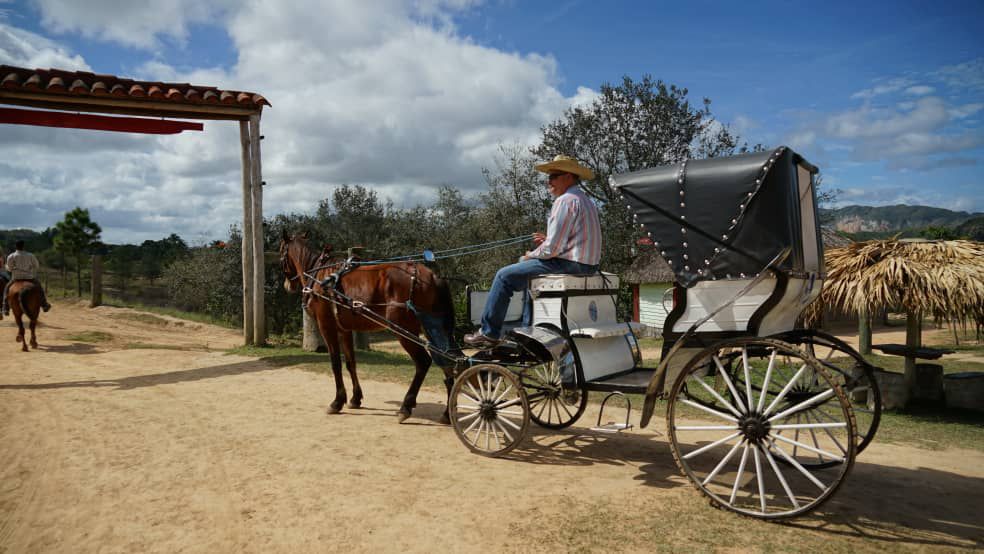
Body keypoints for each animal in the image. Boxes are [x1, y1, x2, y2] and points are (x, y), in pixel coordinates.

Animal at [278, 231, 460, 420]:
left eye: (281, 251)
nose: (287, 285)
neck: (321, 276)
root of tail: (432, 276)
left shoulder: (327, 326)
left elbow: (336, 363)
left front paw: (337, 402)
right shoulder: (344, 329)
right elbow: (350, 362)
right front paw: (355, 398)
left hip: (403, 329)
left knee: (423, 362)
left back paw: (406, 406)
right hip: (432, 328)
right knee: (447, 361)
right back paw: (447, 413)